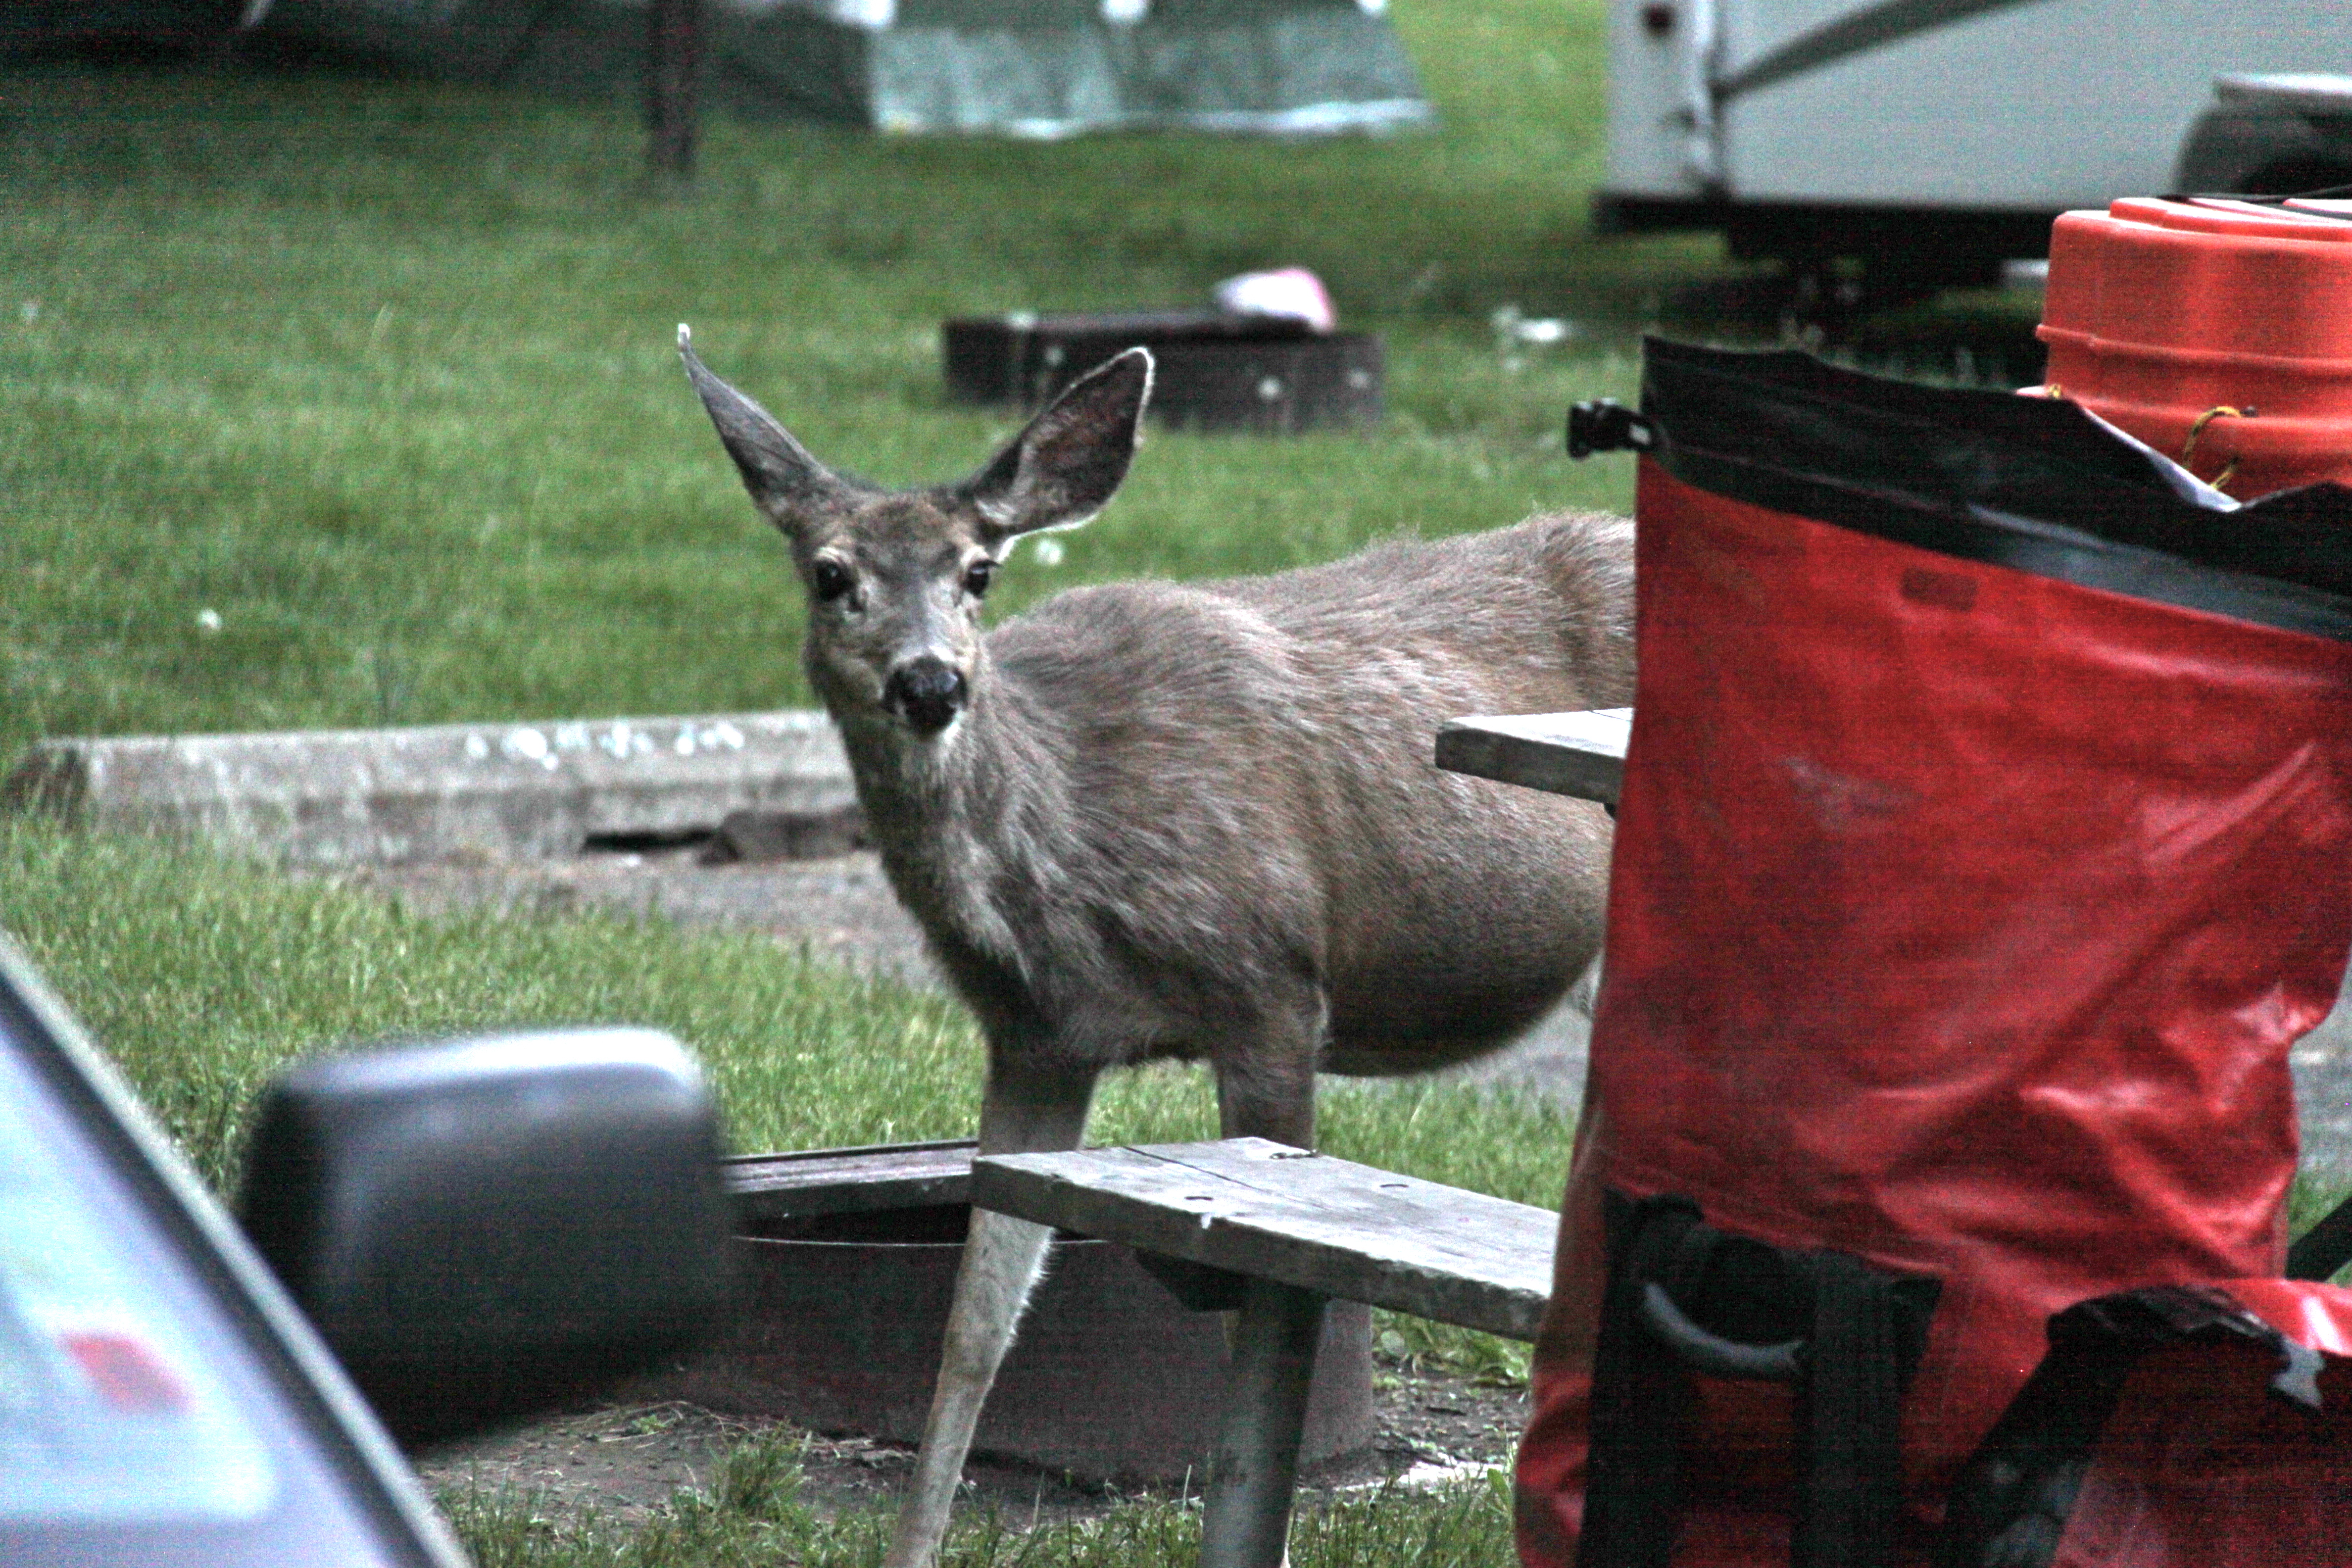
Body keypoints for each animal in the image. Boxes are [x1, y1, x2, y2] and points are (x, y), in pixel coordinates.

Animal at [678, 328, 1633, 1567]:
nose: (930, 683)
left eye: (979, 572)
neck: (1066, 862)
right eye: (832, 575)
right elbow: (976, 1327)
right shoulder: (1034, 1041)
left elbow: (1248, 1305)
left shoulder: (1272, 980)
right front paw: (915, 1544)